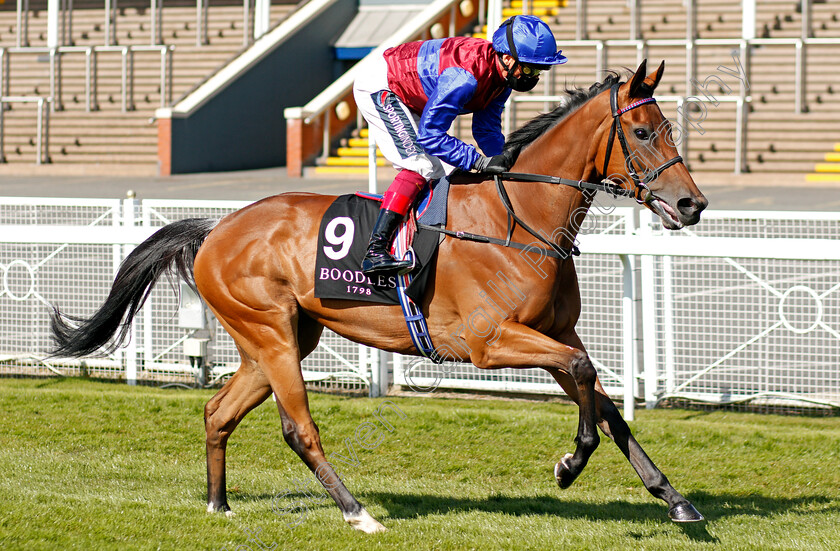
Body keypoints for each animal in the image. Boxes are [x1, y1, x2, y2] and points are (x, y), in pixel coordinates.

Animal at [50, 60, 708, 536]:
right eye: (643, 132)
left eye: (670, 129)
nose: (693, 204)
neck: (520, 218)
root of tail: (215, 229)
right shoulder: (490, 342)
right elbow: (585, 376)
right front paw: (570, 465)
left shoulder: (554, 332)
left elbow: (604, 400)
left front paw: (675, 500)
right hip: (271, 333)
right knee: (298, 428)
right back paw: (357, 511)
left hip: (279, 339)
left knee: (218, 412)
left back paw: (219, 505)